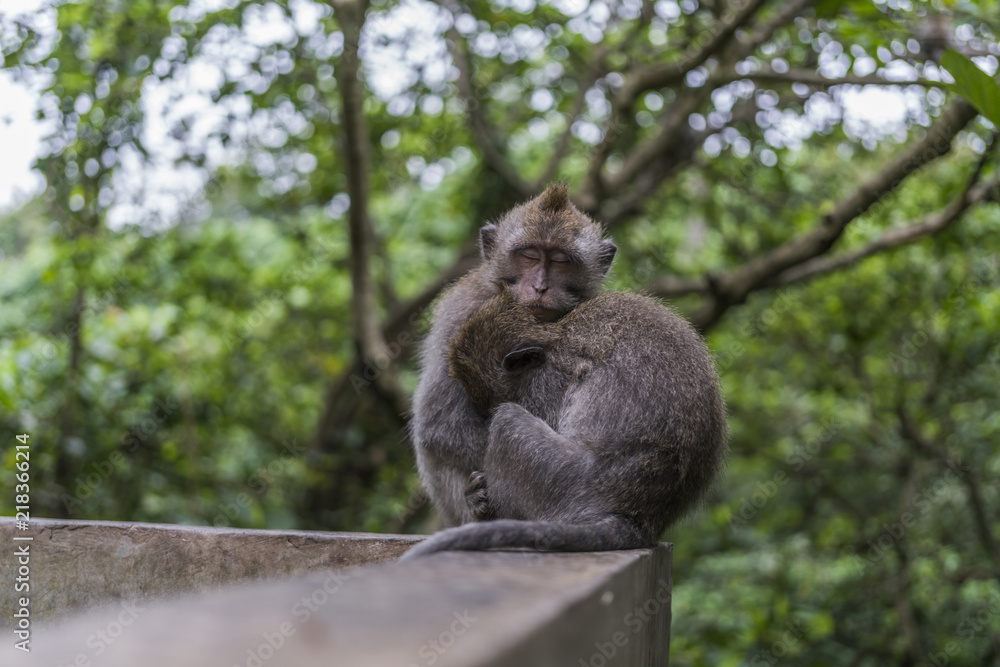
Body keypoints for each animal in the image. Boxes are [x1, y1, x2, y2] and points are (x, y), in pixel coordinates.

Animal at [401, 288, 727, 559]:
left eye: (492, 401)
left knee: (509, 422)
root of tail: (641, 517)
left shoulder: (548, 383)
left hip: (562, 484)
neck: (551, 339)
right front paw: (475, 494)